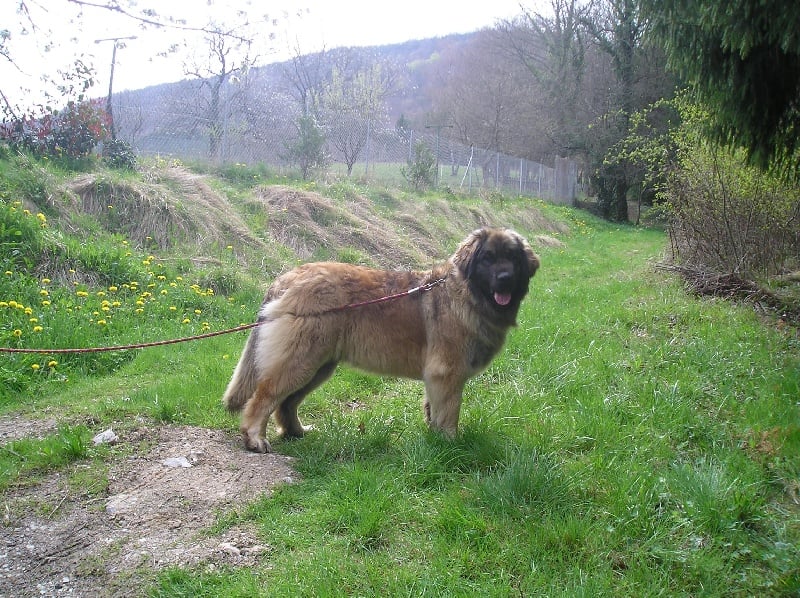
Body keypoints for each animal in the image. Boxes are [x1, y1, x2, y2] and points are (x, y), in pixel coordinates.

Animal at [222, 227, 540, 452]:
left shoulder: (435, 377)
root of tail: (287, 277)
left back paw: (297, 433)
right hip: (301, 359)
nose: (505, 278)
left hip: (319, 366)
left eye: (512, 258)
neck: (467, 294)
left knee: (286, 403)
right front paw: (451, 444)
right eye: (487, 259)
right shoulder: (448, 373)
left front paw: (434, 439)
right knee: (265, 396)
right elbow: (449, 412)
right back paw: (255, 439)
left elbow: (432, 410)